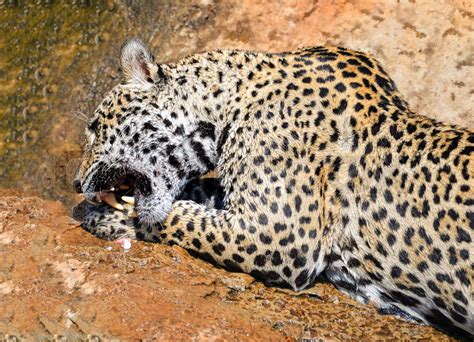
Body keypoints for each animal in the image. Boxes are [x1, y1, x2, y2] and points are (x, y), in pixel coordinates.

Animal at [72, 38, 472, 338]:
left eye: (94, 127)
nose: (76, 183)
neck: (224, 105)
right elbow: (200, 194)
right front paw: (96, 209)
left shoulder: (280, 233)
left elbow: (182, 220)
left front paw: (112, 216)